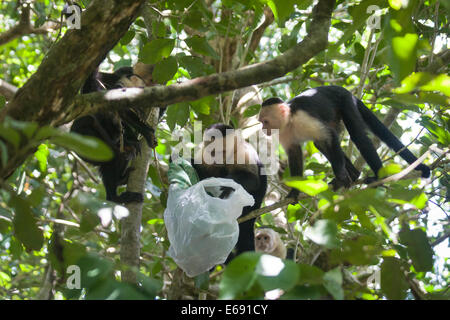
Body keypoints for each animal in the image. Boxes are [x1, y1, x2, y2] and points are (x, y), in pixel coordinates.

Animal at [71, 61, 161, 204]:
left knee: (120, 155)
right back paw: (115, 197)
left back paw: (121, 177)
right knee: (110, 152)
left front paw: (144, 132)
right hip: (82, 137)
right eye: (120, 86)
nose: (119, 87)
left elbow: (126, 115)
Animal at [192, 124, 268, 262]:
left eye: (221, 151)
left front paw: (227, 185)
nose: (215, 158)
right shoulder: (203, 153)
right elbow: (201, 173)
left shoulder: (243, 153)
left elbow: (253, 179)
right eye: (212, 151)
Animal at [258, 85, 430, 198]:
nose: (263, 129)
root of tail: (341, 89)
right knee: (320, 144)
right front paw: (294, 192)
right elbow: (295, 153)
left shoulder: (303, 118)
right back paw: (354, 174)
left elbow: (329, 136)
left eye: (265, 121)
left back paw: (377, 178)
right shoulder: (283, 133)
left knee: (357, 136)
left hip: (345, 102)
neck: (290, 121)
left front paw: (341, 174)